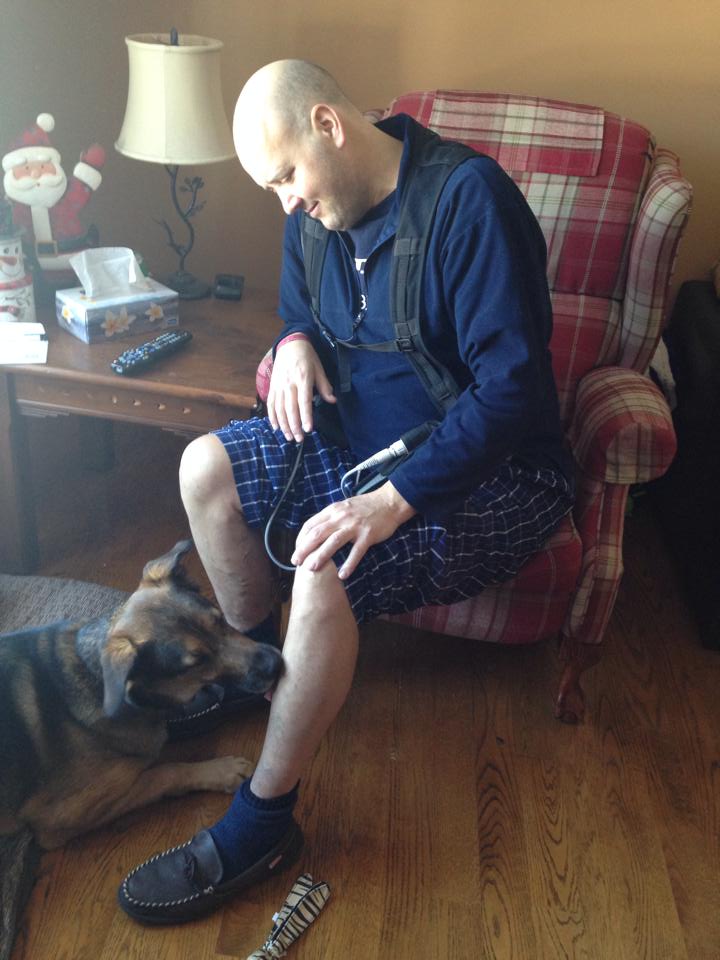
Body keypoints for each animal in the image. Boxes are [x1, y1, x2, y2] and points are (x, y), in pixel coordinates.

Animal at [0, 540, 282, 850]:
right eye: (196, 663)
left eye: (220, 620)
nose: (276, 664)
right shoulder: (64, 815)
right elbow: (164, 771)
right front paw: (220, 770)